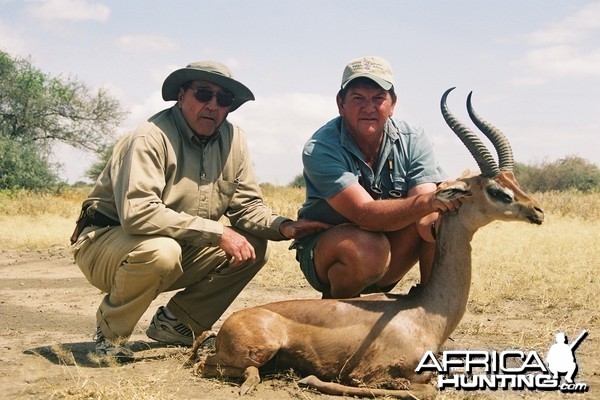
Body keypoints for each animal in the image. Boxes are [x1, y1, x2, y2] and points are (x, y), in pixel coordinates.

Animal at [191, 89, 544, 398]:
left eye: (515, 182)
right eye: (496, 191)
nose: (537, 211)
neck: (424, 314)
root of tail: (229, 324)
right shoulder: (371, 373)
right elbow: (420, 390)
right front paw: (313, 380)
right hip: (258, 350)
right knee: (215, 367)